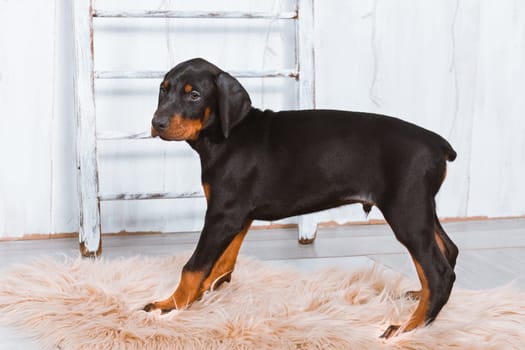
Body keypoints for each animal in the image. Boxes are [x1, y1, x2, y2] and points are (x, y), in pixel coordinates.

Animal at [145, 58, 456, 340]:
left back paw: (408, 328)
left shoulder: (223, 214)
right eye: (163, 89)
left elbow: (194, 266)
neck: (227, 136)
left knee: (439, 273)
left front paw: (169, 305)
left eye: (194, 95)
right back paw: (419, 301)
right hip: (420, 206)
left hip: (406, 210)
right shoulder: (238, 216)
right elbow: (222, 262)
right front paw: (207, 294)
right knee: (448, 251)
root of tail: (437, 144)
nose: (157, 123)